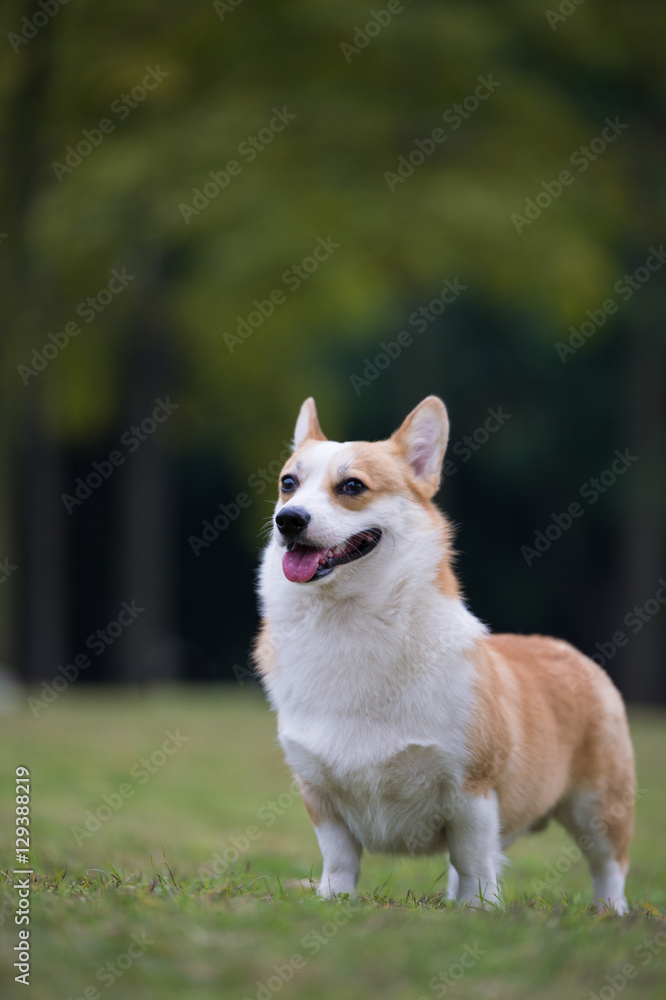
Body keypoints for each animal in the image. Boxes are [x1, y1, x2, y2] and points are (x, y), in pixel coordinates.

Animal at [253, 394, 632, 912]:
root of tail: (568, 650)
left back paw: (611, 913)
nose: (288, 520)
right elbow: (340, 859)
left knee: (608, 867)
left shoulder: (471, 792)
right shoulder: (319, 793)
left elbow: (473, 861)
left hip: (599, 806)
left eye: (352, 486)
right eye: (288, 484)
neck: (347, 621)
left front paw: (480, 911)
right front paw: (334, 901)